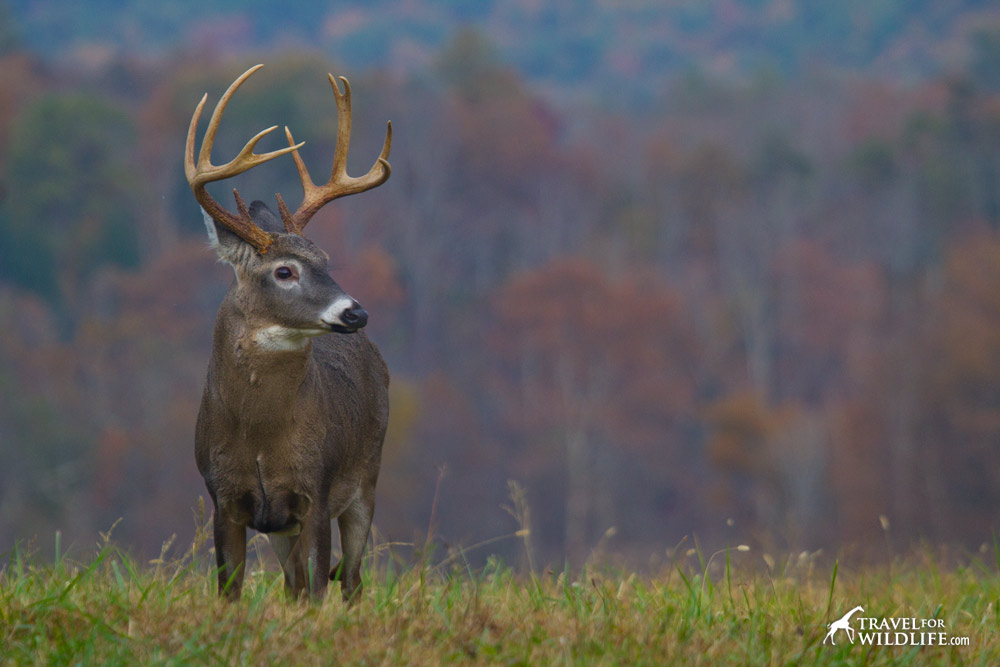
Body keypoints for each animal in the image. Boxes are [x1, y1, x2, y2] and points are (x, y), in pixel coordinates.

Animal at [184, 65, 390, 604]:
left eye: (326, 261)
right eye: (284, 271)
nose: (355, 312)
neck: (260, 435)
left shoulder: (315, 488)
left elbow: (317, 588)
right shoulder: (224, 496)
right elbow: (231, 591)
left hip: (366, 479)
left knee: (352, 578)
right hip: (281, 527)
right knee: (294, 582)